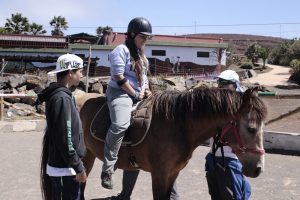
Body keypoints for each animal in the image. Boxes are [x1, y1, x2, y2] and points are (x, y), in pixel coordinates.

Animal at [77, 87, 268, 200]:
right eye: (251, 128)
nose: (258, 169)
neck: (178, 125)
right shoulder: (159, 174)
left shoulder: (173, 173)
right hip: (84, 156)